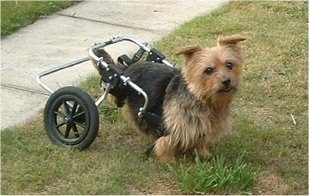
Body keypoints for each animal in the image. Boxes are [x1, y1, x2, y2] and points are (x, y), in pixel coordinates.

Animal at [89, 34, 245, 162]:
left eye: (229, 64)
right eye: (208, 70)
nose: (226, 81)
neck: (201, 98)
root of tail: (126, 69)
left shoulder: (201, 127)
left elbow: (200, 142)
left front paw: (204, 154)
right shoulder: (171, 128)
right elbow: (166, 145)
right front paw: (170, 162)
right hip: (126, 96)